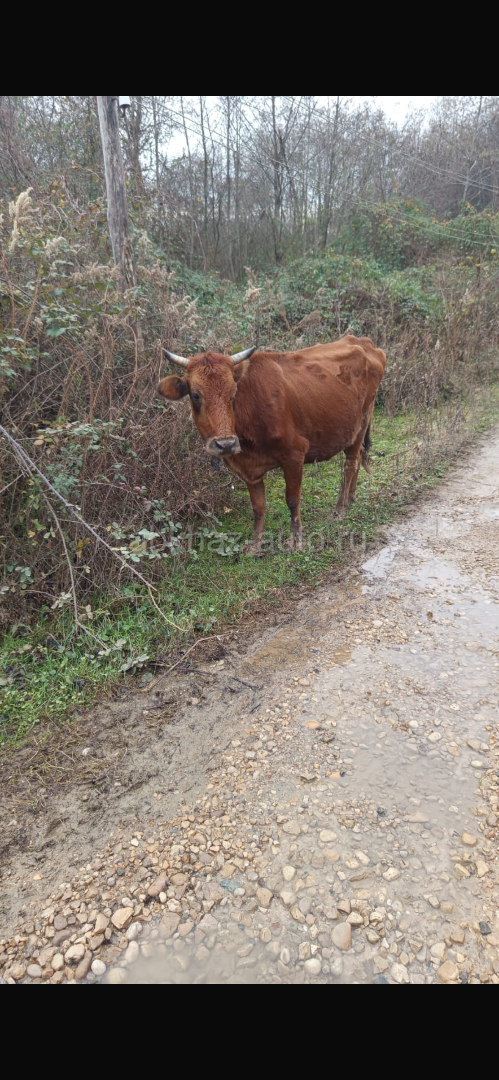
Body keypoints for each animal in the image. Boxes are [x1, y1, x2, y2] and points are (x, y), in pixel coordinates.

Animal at [157, 336, 386, 553]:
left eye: (234, 393)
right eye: (195, 395)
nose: (226, 444)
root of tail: (362, 341)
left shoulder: (295, 454)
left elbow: (292, 500)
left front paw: (296, 540)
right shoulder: (249, 468)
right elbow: (258, 506)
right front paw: (256, 544)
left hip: (360, 423)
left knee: (350, 464)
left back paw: (339, 509)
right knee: (358, 459)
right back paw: (351, 497)